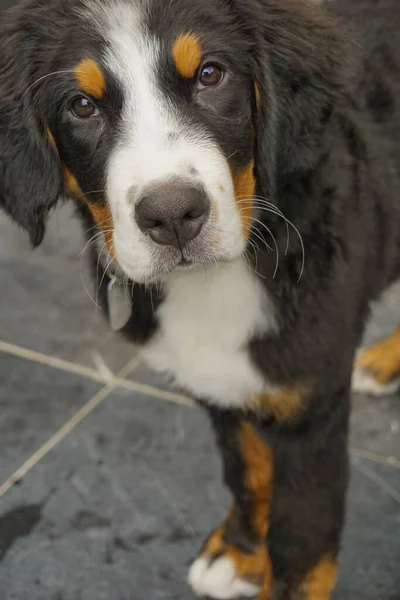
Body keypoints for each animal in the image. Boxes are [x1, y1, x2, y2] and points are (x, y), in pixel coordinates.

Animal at [0, 0, 400, 596]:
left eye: (211, 75)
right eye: (81, 106)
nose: (171, 216)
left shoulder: (312, 410)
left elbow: (302, 550)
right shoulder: (217, 384)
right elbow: (247, 469)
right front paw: (240, 552)